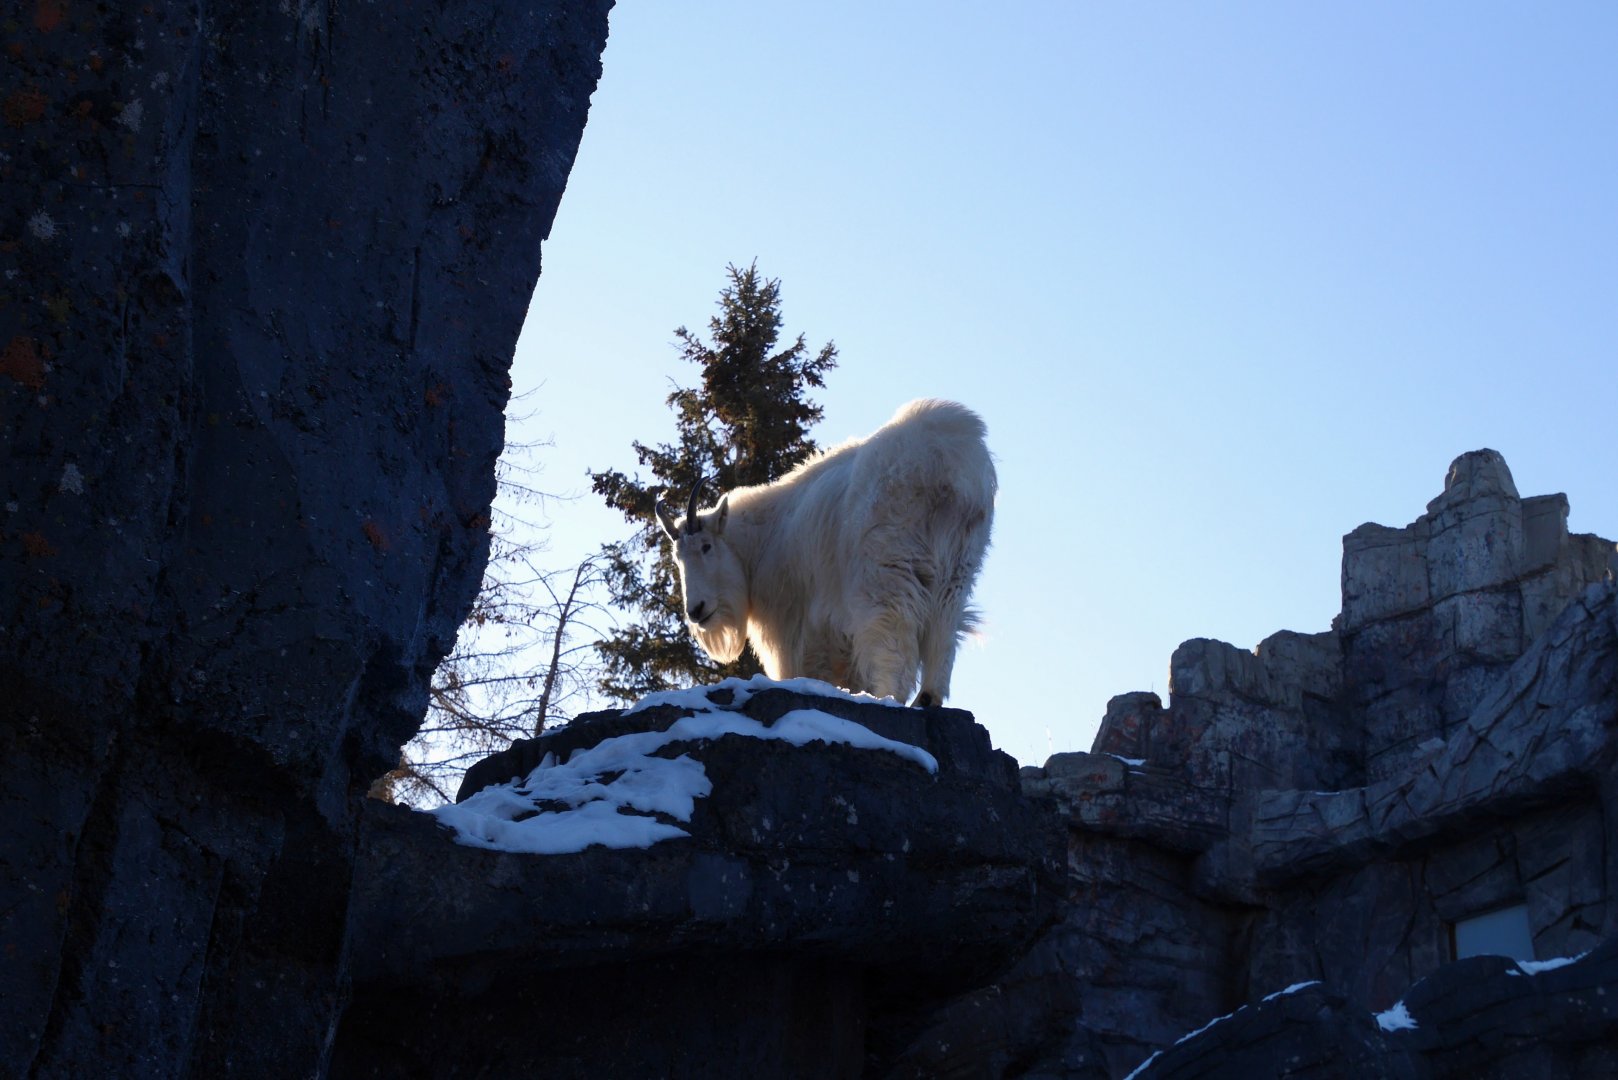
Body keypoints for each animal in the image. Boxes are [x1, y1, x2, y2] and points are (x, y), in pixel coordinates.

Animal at [656, 399, 995, 707]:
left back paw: (890, 698)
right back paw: (927, 698)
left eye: (706, 546)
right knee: (944, 629)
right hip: (957, 571)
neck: (762, 539)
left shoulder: (792, 622)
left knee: (894, 634)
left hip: (888, 570)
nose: (696, 610)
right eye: (677, 558)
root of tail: (945, 467)